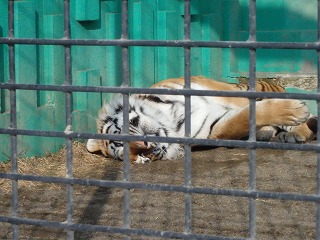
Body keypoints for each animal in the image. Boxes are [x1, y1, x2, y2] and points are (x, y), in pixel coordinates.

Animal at [86, 76, 316, 163]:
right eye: (141, 157)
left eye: (119, 138)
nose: (145, 146)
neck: (172, 120)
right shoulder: (214, 128)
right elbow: (243, 119)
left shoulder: (219, 91)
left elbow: (247, 107)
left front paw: (296, 113)